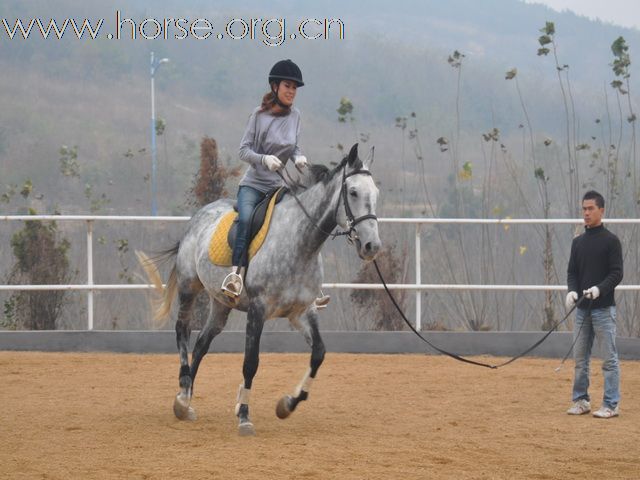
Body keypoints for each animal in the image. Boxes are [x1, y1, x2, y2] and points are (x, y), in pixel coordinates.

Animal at [140, 142, 380, 436]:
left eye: (375, 193)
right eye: (353, 192)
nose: (371, 246)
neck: (300, 243)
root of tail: (198, 216)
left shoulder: (301, 311)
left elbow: (319, 354)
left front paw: (287, 404)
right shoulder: (258, 309)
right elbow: (250, 362)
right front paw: (244, 415)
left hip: (221, 304)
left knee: (202, 343)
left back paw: (185, 403)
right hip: (189, 287)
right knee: (182, 331)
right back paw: (183, 394)